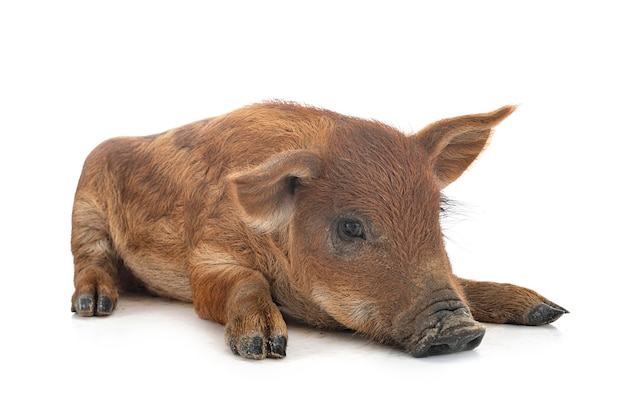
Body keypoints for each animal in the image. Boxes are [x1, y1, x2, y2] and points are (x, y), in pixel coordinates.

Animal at [70, 101, 568, 356]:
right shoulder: (207, 255)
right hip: (84, 209)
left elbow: (462, 279)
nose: (460, 330)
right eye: (350, 227)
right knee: (89, 260)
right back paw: (94, 307)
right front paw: (263, 346)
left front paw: (549, 311)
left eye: (438, 213)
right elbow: (241, 282)